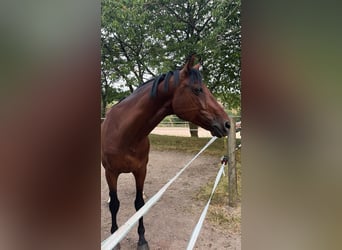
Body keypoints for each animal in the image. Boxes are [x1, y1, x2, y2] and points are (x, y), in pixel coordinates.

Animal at [101, 55, 230, 250]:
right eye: (197, 89)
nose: (227, 124)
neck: (124, 133)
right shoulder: (111, 173)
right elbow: (115, 205)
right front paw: (115, 239)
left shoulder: (141, 171)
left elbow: (139, 204)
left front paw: (142, 240)